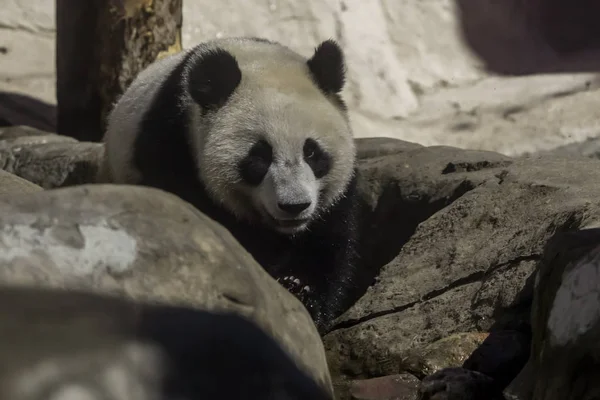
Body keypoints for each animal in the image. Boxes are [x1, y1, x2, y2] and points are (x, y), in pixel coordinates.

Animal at [99, 36, 360, 332]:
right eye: (259, 157)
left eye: (312, 152)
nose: (294, 206)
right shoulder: (171, 147)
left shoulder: (333, 200)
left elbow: (329, 243)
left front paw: (299, 289)